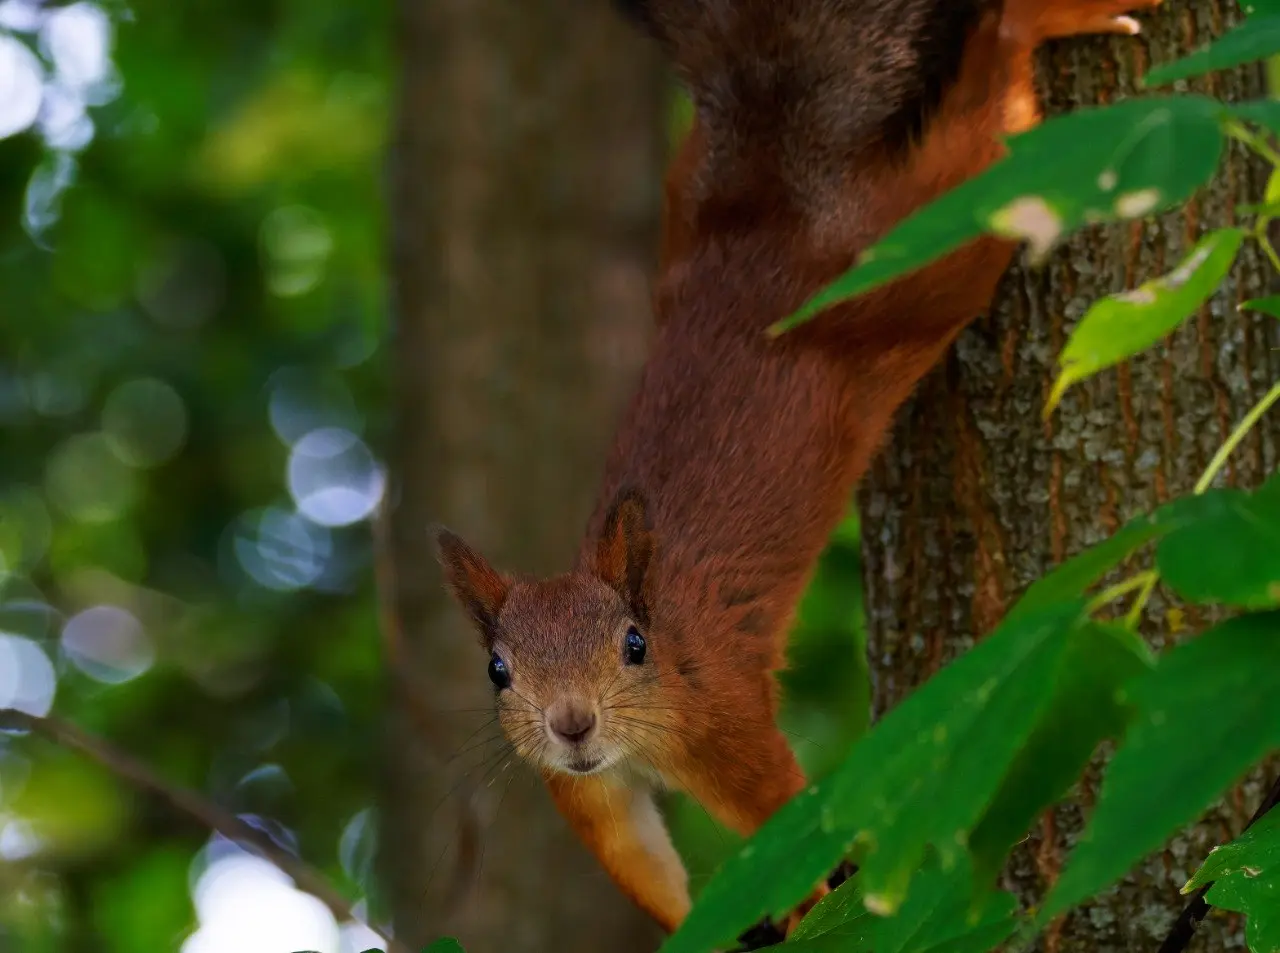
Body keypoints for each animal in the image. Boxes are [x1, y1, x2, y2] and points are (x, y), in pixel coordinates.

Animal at [435, 0, 1158, 939]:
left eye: (633, 644)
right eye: (498, 670)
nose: (570, 724)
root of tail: (777, 196)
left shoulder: (723, 718)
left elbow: (789, 822)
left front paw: (816, 899)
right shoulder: (581, 791)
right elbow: (640, 859)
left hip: (915, 255)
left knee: (986, 125)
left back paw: (1032, 24)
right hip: (695, 196)